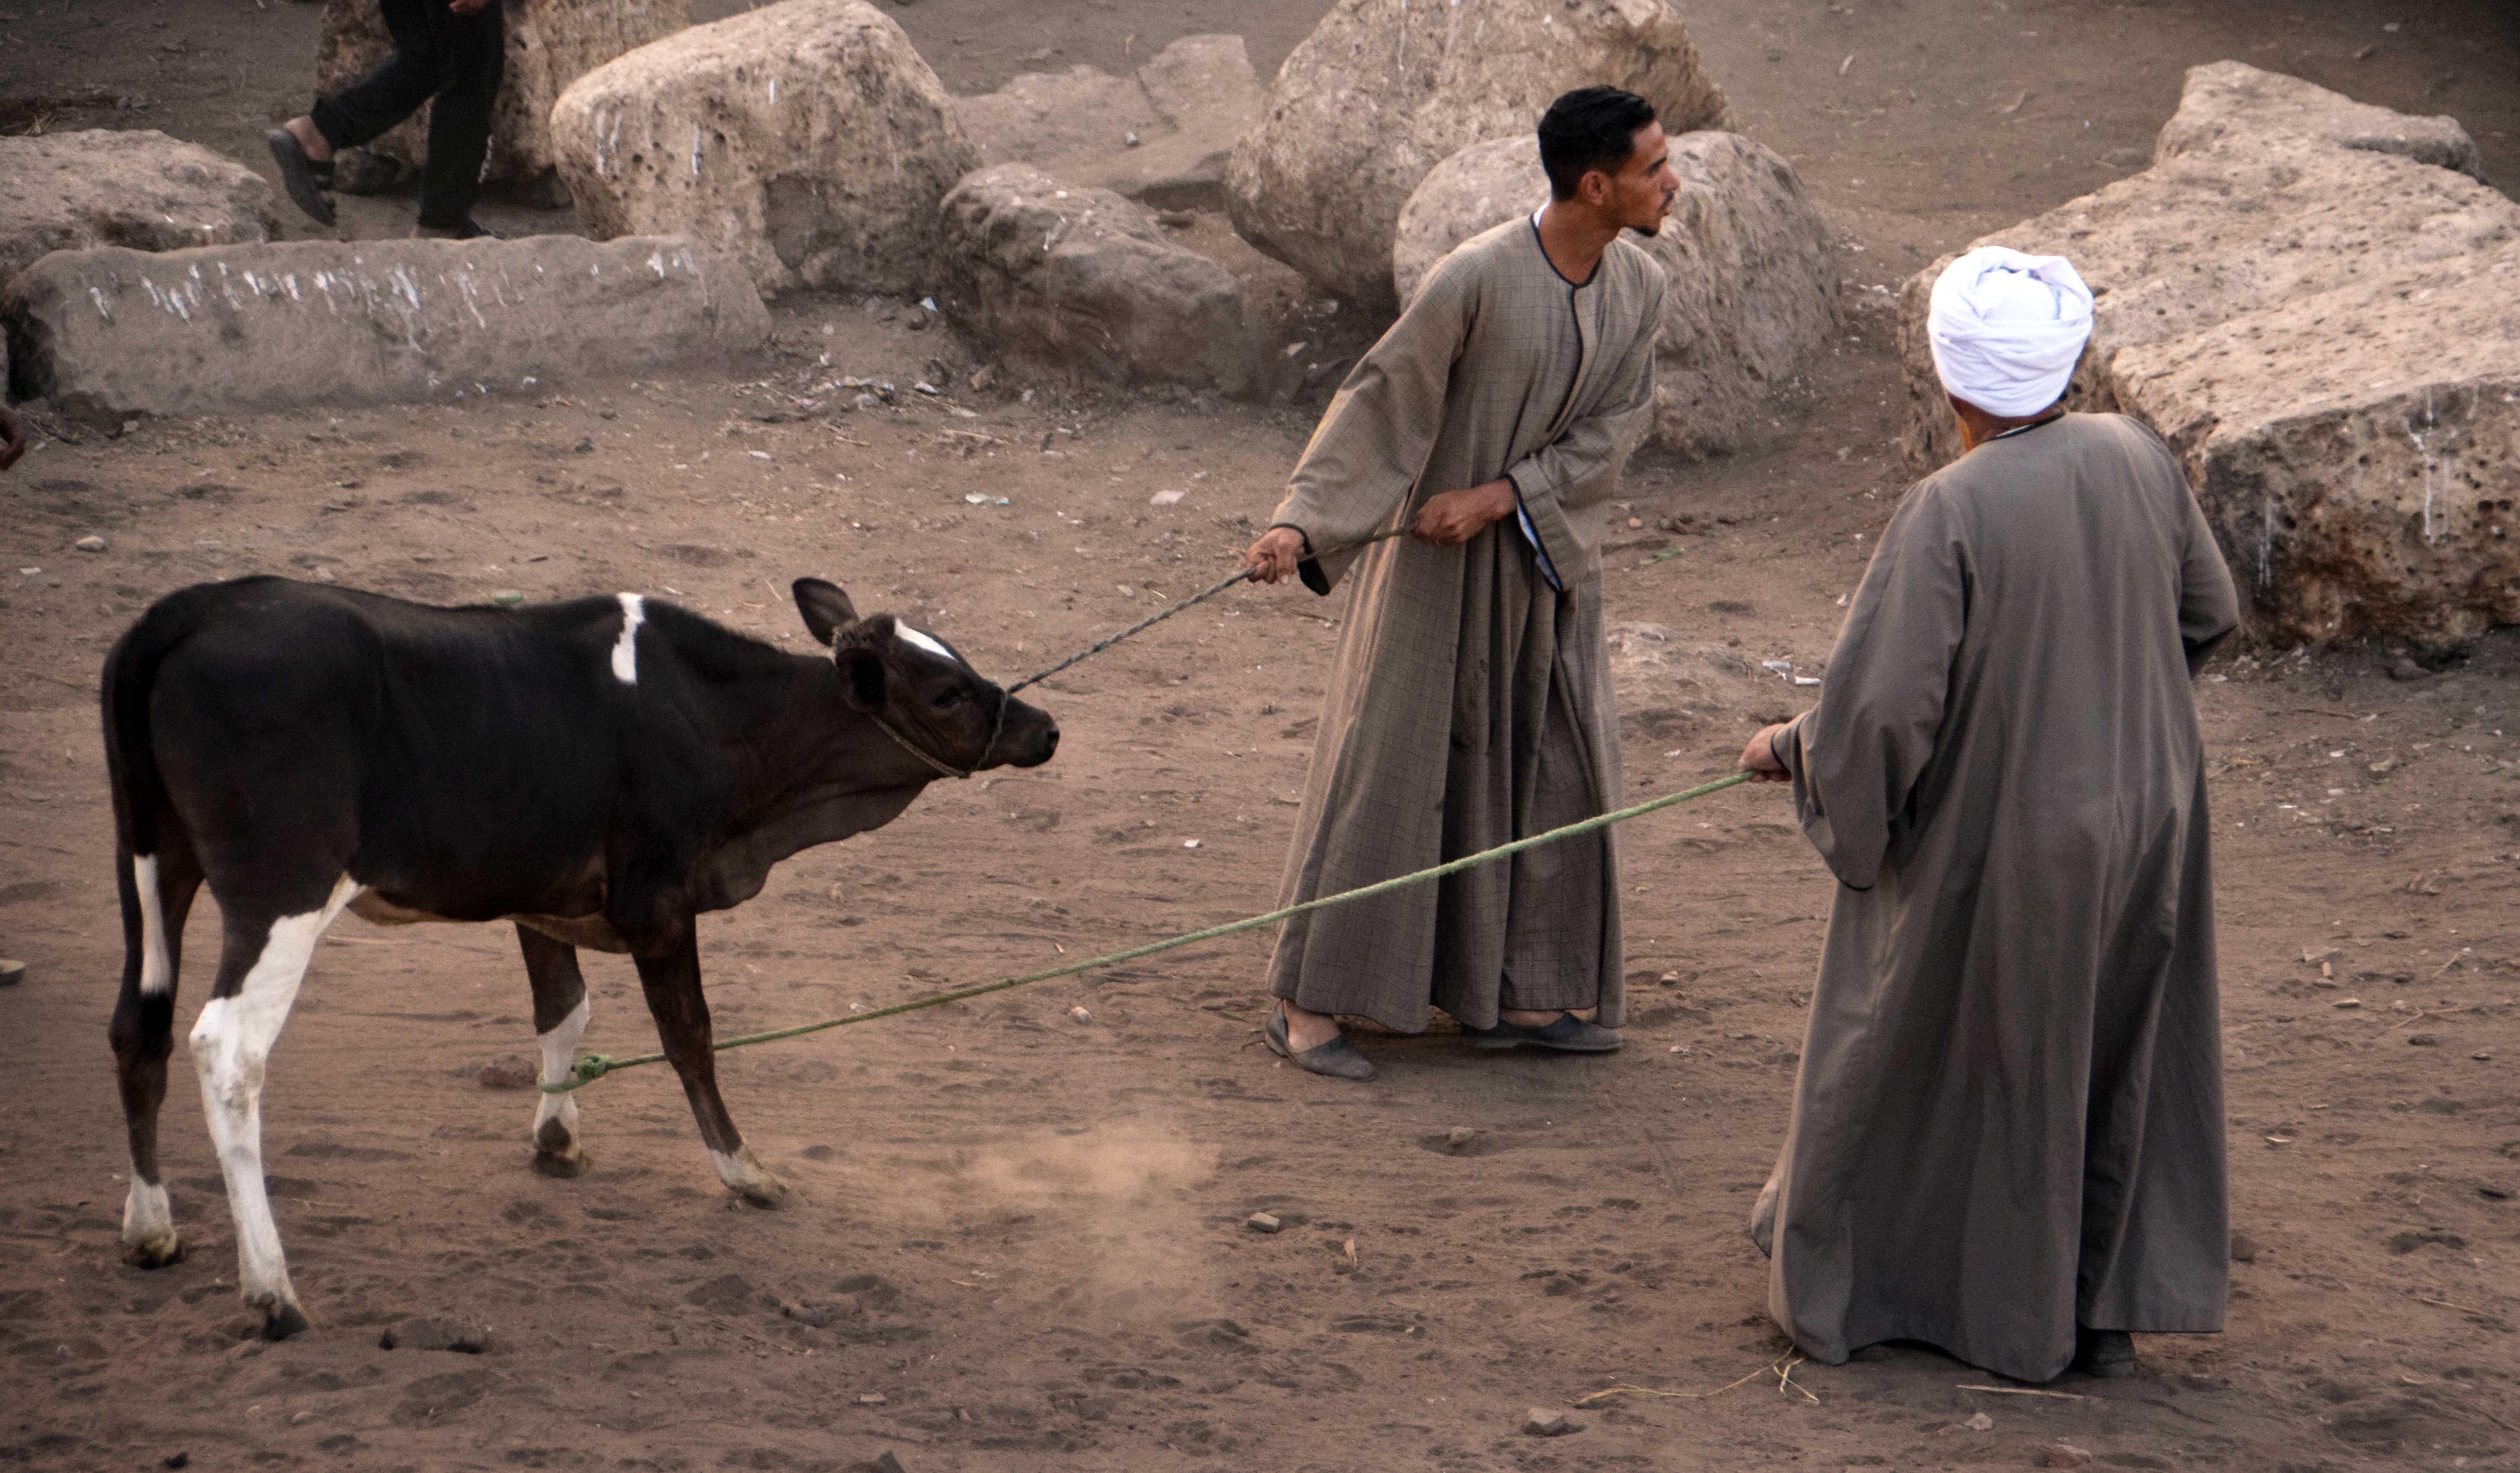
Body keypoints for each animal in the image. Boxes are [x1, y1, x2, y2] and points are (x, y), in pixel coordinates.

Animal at [101, 574, 1053, 1329]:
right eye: (947, 690)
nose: (1042, 724)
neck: (713, 720)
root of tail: (194, 608)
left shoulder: (541, 893)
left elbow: (564, 1009)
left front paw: (557, 1136)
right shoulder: (657, 898)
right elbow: (690, 1035)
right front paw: (745, 1170)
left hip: (151, 862)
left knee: (137, 1028)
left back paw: (151, 1227)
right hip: (281, 889)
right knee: (227, 1049)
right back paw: (272, 1288)